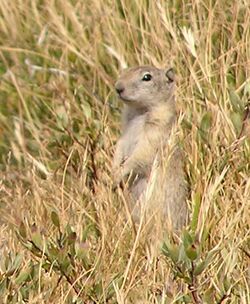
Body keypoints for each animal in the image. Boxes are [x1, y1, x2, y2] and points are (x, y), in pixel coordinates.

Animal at [113, 65, 188, 229]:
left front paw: (117, 174)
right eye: (126, 70)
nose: (118, 87)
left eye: (147, 77)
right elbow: (119, 147)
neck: (139, 111)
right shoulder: (124, 135)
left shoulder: (153, 137)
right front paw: (110, 172)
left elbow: (139, 156)